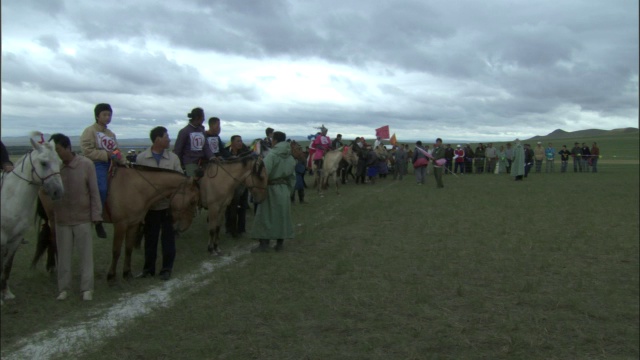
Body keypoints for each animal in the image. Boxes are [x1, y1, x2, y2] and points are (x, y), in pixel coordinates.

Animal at [1, 134, 64, 306]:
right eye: (43, 163)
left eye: (59, 162)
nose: (58, 192)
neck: (10, 199)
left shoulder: (15, 239)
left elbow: (7, 265)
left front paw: (6, 293)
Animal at [32, 165, 201, 282]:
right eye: (193, 201)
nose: (184, 227)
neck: (137, 188)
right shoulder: (120, 224)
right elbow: (116, 251)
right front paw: (112, 276)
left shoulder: (133, 224)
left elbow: (128, 249)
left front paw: (127, 273)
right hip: (55, 219)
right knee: (54, 241)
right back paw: (55, 268)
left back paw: (52, 267)